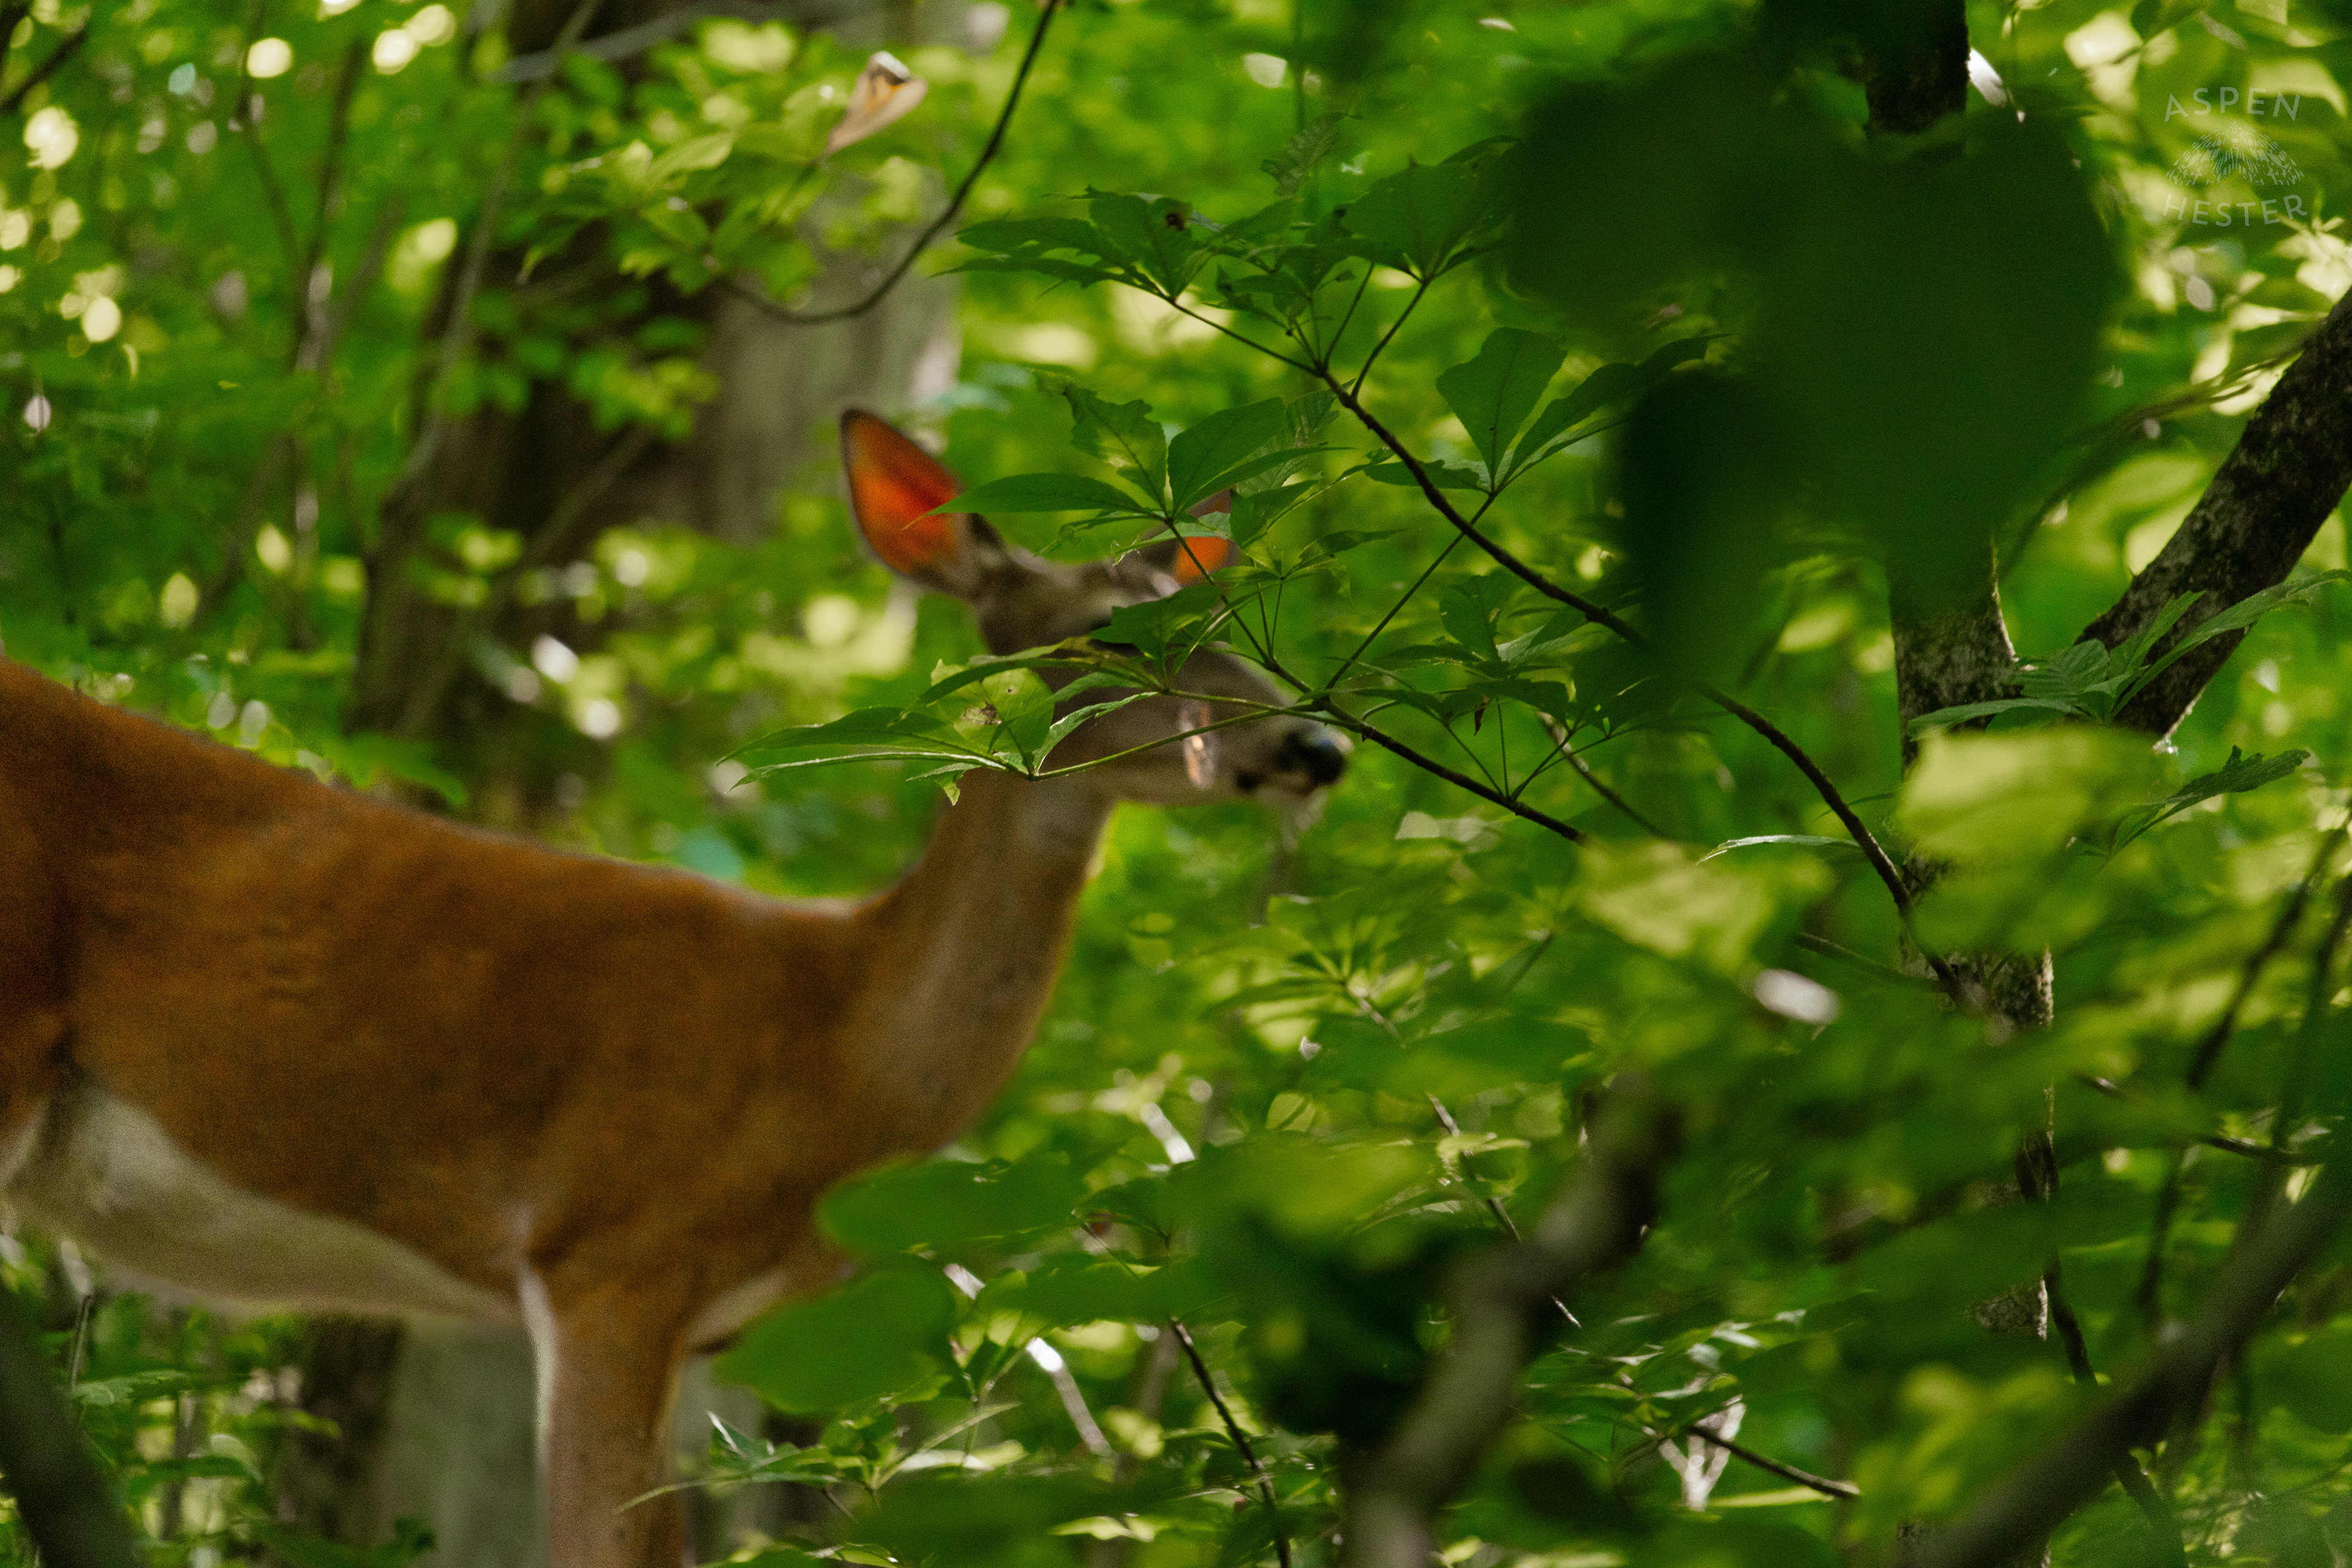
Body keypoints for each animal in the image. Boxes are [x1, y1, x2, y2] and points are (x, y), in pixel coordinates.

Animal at [0, 409, 1346, 1568]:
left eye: (1231, 616)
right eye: (1109, 633)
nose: (1317, 746)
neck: (832, 1042)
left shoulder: (710, 1329)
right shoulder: (610, 1239)